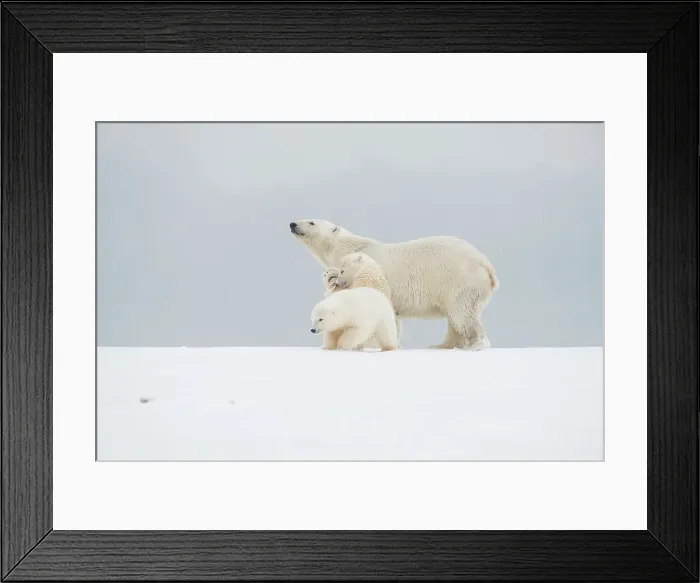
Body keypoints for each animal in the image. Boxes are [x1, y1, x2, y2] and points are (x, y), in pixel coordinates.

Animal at [290, 219, 498, 350]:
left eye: (311, 221)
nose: (292, 224)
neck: (350, 248)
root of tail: (486, 264)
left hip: (460, 281)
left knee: (462, 314)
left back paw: (475, 345)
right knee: (455, 318)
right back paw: (442, 345)